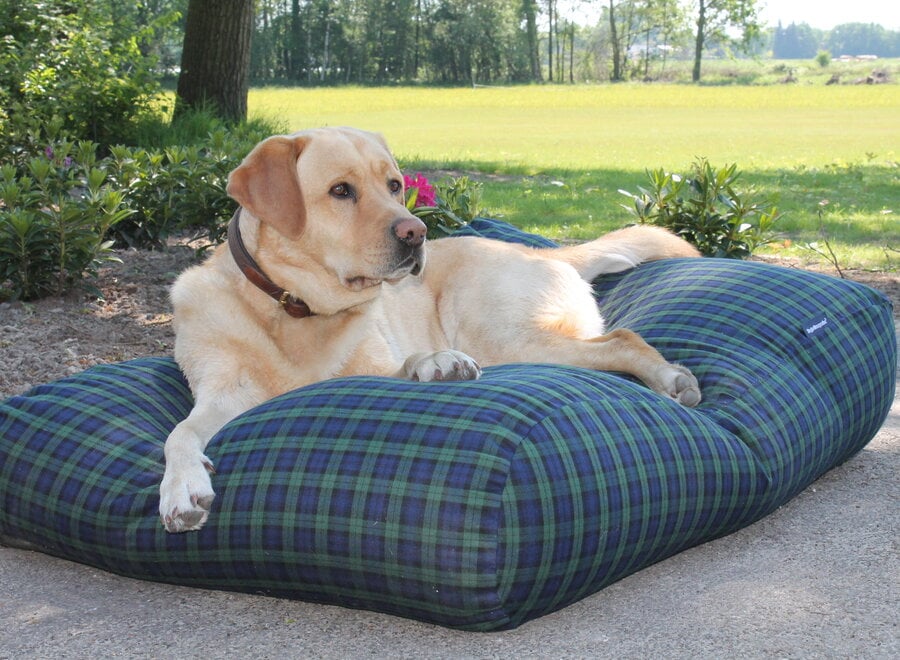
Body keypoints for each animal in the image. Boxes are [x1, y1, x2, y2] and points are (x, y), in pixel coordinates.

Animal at [158, 127, 700, 532]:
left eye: (395, 185)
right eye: (340, 190)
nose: (415, 233)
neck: (296, 310)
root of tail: (544, 251)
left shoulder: (375, 364)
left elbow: (404, 363)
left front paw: (437, 364)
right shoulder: (221, 393)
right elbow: (178, 434)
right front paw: (181, 486)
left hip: (500, 334)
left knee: (621, 340)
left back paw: (671, 379)